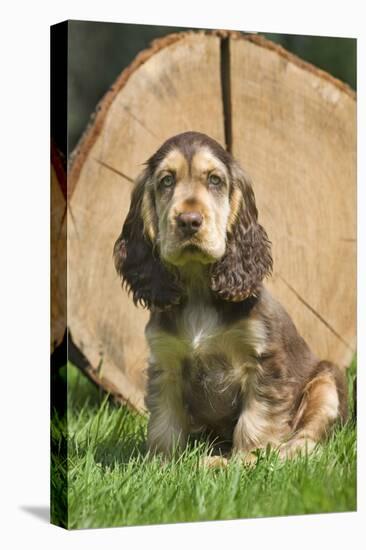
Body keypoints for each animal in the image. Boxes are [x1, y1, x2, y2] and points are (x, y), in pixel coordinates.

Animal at [113, 132, 348, 464]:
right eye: (166, 181)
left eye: (215, 180)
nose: (189, 220)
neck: (199, 288)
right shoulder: (165, 364)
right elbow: (164, 423)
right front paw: (160, 464)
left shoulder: (264, 364)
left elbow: (255, 419)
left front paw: (247, 461)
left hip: (327, 379)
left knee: (312, 431)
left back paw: (289, 451)